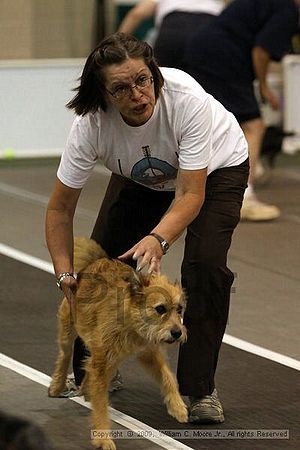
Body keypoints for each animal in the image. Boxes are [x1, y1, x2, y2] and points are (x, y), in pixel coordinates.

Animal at [48, 237, 186, 448]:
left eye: (179, 309)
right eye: (160, 309)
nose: (177, 332)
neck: (132, 322)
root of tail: (97, 260)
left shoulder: (148, 353)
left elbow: (168, 377)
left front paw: (177, 406)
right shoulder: (102, 362)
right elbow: (101, 405)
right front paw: (103, 437)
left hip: (111, 358)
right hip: (69, 329)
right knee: (65, 354)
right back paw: (57, 384)